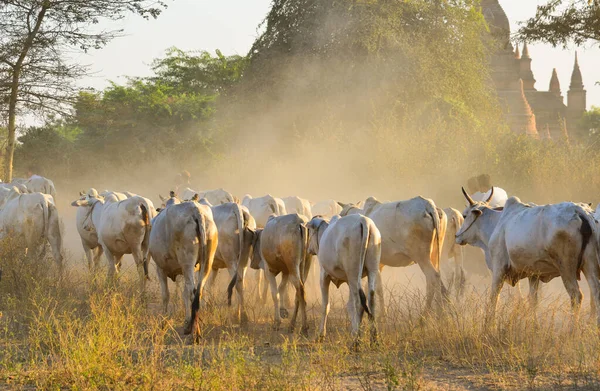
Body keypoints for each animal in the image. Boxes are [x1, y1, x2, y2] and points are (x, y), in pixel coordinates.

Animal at [308, 214, 382, 344]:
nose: (308, 249)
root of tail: (364, 221)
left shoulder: (324, 277)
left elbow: (325, 306)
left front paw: (321, 334)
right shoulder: (348, 281)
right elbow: (350, 306)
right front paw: (353, 331)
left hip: (353, 273)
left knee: (359, 304)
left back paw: (356, 341)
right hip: (371, 270)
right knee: (371, 298)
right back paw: (374, 339)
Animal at [454, 189, 600, 324]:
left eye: (464, 215)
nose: (457, 236)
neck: (497, 223)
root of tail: (580, 211)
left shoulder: (498, 268)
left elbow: (494, 297)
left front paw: (489, 324)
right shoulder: (533, 274)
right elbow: (533, 300)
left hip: (566, 268)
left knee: (576, 296)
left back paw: (572, 330)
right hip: (590, 264)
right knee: (595, 293)